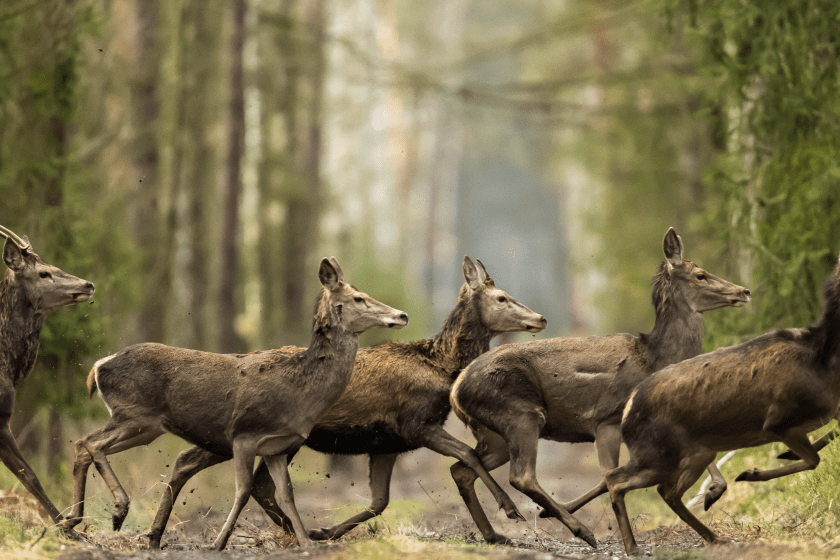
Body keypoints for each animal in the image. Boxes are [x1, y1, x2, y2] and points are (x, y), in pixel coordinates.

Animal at [63, 257, 408, 550]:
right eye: (359, 298)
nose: (401, 315)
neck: (300, 392)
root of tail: (98, 367)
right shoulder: (245, 434)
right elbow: (243, 491)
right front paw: (218, 543)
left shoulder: (276, 447)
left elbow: (286, 494)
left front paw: (307, 543)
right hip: (134, 413)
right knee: (91, 442)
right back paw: (117, 510)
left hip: (146, 426)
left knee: (84, 445)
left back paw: (74, 523)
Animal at [142, 256, 565, 549]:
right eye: (501, 297)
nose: (541, 318)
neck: (442, 365)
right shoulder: (416, 424)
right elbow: (468, 455)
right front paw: (507, 513)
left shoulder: (389, 444)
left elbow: (380, 501)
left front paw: (328, 530)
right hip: (256, 435)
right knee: (229, 474)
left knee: (200, 465)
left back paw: (158, 533)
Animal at [448, 228, 750, 545]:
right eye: (700, 275)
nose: (744, 291)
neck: (654, 358)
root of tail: (456, 390)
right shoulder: (606, 419)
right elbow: (609, 476)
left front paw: (714, 491)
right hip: (519, 413)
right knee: (521, 476)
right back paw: (579, 529)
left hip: (494, 433)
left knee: (463, 468)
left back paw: (495, 533)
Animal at [605, 248, 840, 555]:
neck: (822, 361)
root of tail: (628, 407)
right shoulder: (779, 420)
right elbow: (813, 459)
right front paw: (751, 473)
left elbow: (825, 442)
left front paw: (780, 457)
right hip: (658, 453)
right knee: (616, 480)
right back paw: (633, 546)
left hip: (697, 452)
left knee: (666, 491)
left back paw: (714, 536)